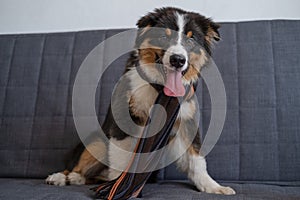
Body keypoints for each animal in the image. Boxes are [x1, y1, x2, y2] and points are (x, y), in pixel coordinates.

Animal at [45, 7, 236, 195]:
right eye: (163, 37)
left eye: (191, 40)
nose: (178, 60)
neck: (160, 88)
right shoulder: (124, 122)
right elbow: (121, 162)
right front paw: (117, 188)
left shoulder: (185, 121)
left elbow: (196, 160)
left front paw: (212, 187)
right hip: (97, 143)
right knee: (79, 167)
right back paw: (62, 177)